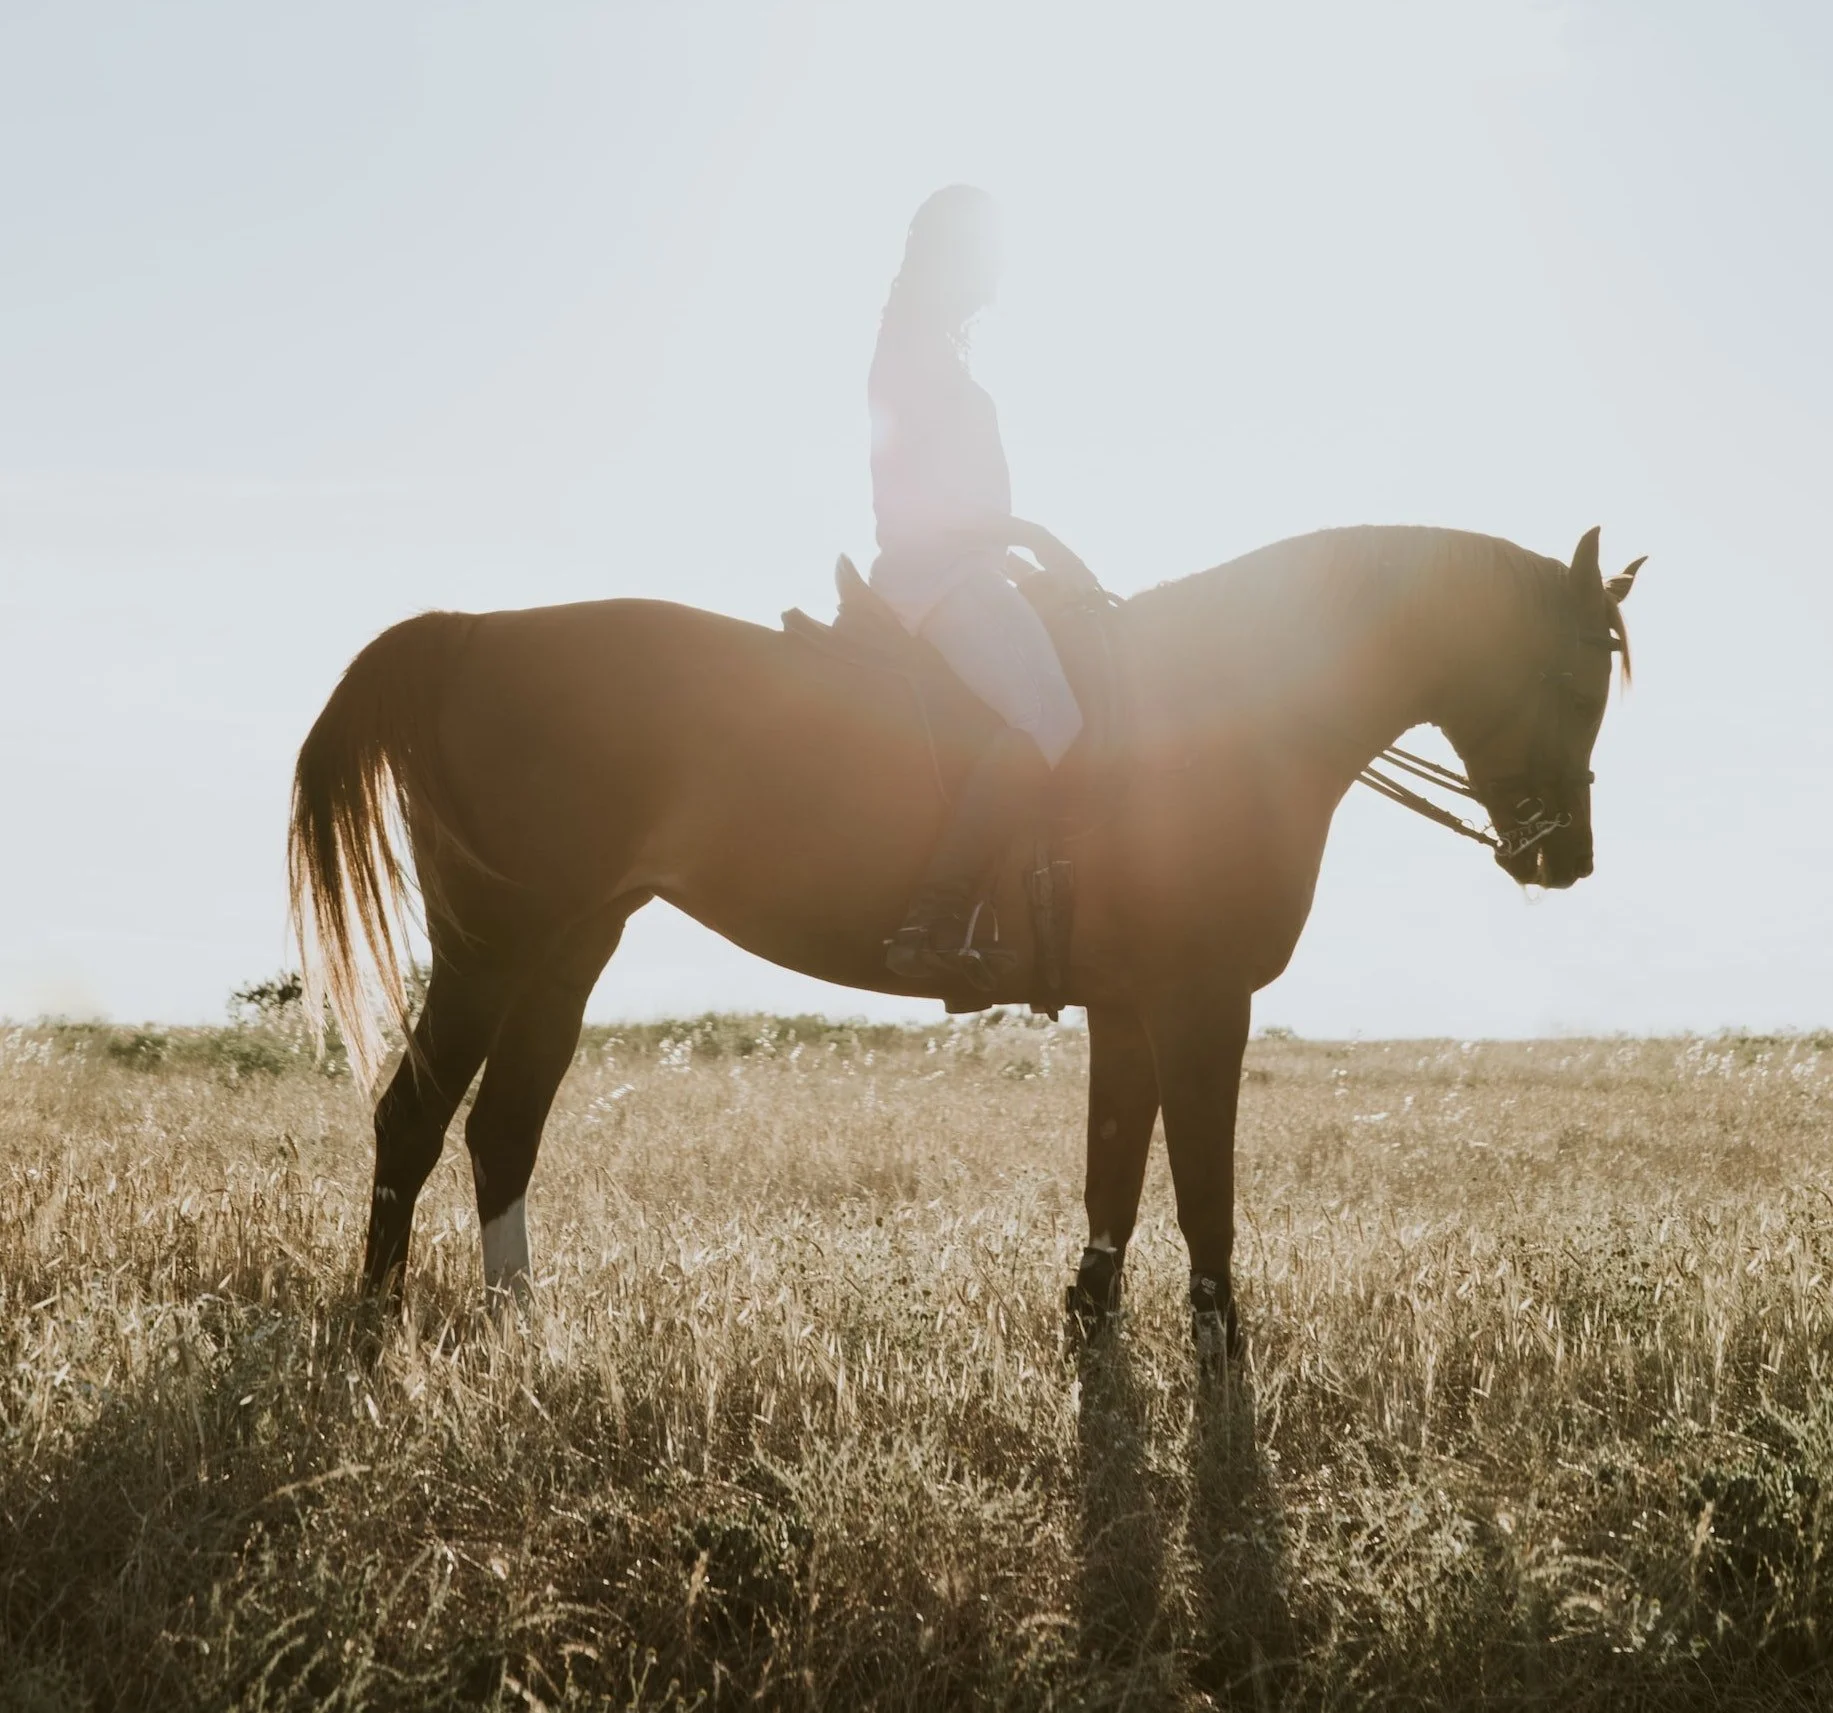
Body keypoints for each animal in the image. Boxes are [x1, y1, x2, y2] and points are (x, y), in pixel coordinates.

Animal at [288, 523, 1640, 1355]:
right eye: (1580, 680)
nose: (1564, 857)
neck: (1223, 708)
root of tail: (474, 629)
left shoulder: (1129, 1006)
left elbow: (1115, 1172)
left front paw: (1093, 1327)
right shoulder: (1202, 1000)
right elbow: (1202, 1188)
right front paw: (1221, 1350)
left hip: (569, 948)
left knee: (503, 1124)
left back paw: (520, 1324)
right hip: (494, 945)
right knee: (414, 1115)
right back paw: (377, 1323)